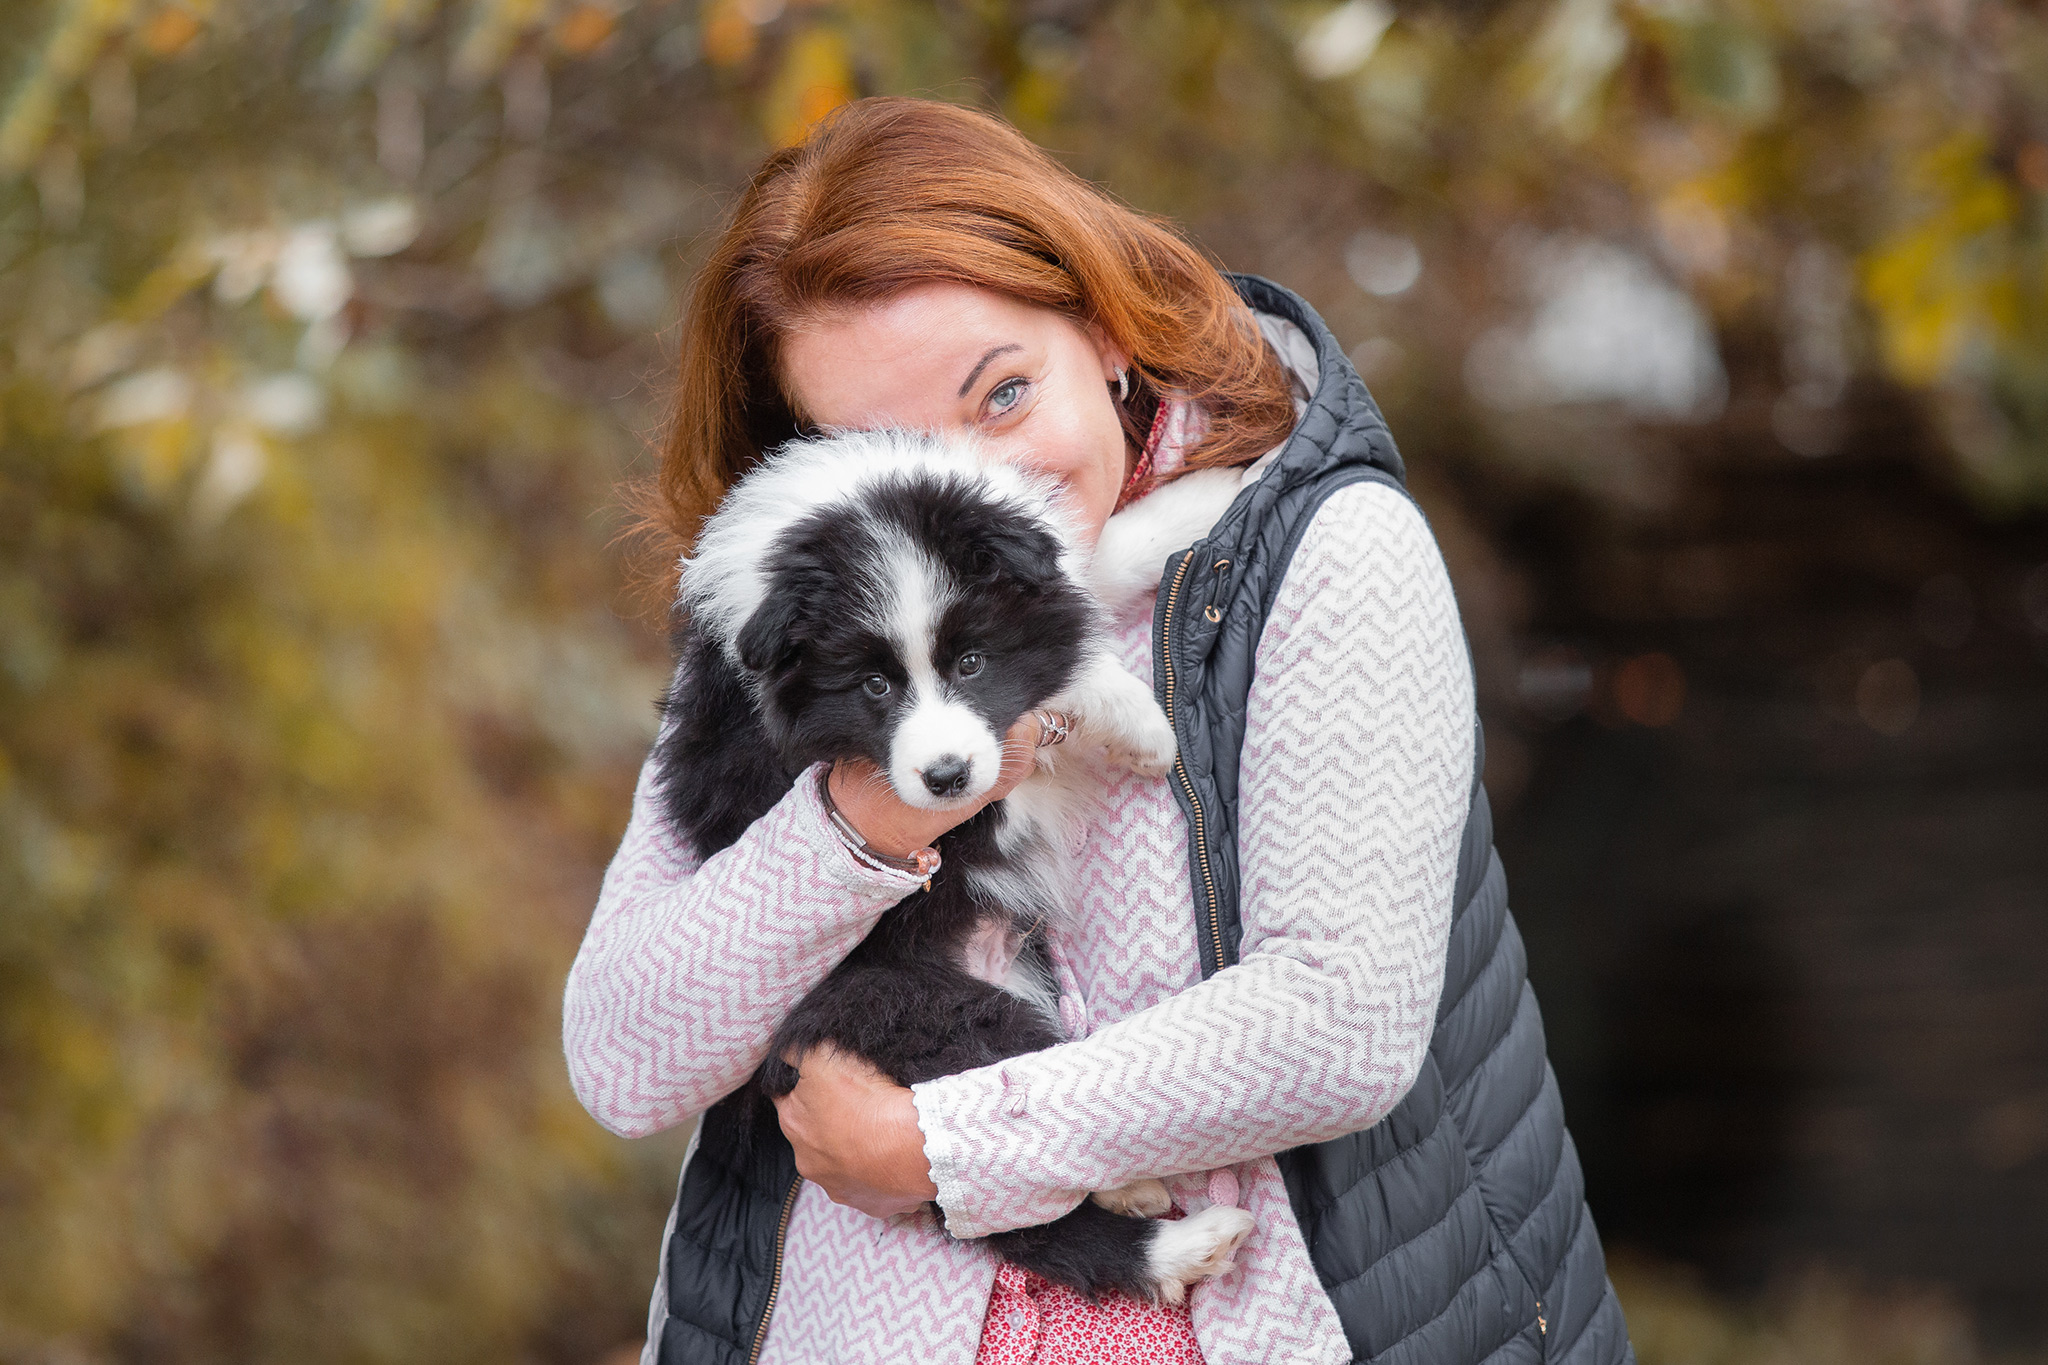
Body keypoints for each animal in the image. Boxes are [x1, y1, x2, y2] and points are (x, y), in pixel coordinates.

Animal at [655, 427, 1253, 1301]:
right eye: (873, 684)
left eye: (970, 662)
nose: (946, 777)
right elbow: (1057, 680)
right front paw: (1142, 725)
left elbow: (1076, 570)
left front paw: (1206, 493)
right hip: (908, 1005)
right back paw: (1159, 1223)